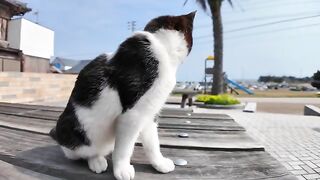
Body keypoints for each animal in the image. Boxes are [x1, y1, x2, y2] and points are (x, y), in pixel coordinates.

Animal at [49, 11, 195, 179]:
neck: (160, 47)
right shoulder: (133, 115)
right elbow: (124, 148)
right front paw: (122, 169)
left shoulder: (149, 111)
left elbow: (152, 142)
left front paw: (159, 163)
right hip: (77, 135)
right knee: (84, 152)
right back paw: (96, 161)